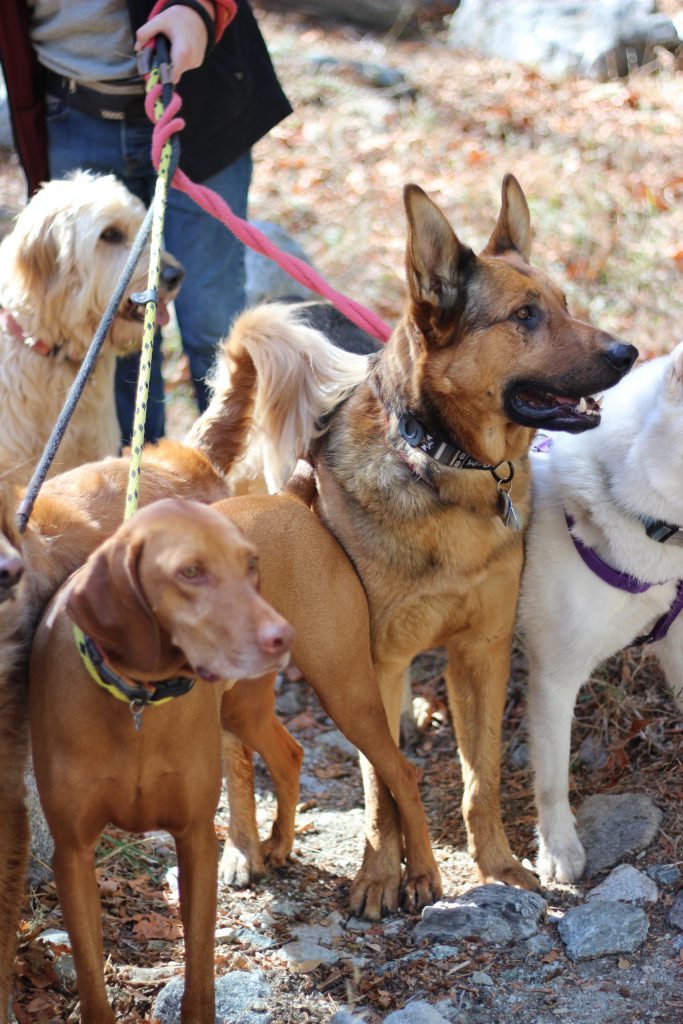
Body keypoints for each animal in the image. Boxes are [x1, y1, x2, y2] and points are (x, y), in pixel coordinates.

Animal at [29, 499, 292, 1024]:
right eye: (190, 571)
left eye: (249, 564)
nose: (282, 636)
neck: (139, 702)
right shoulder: (72, 852)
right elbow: (90, 973)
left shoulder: (195, 838)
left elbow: (200, 967)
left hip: (246, 706)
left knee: (287, 754)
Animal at [204, 176, 643, 921]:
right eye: (525, 316)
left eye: (563, 304)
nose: (628, 353)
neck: (447, 467)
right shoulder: (372, 662)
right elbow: (380, 789)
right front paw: (384, 875)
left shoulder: (482, 651)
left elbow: (480, 778)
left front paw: (496, 866)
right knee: (237, 758)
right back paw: (240, 848)